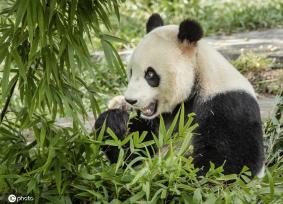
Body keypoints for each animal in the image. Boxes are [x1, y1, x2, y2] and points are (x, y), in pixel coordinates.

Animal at [96, 13, 266, 178]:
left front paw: (167, 172)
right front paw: (113, 121)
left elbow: (227, 162)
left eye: (150, 74)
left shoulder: (227, 104)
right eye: (131, 72)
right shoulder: (153, 121)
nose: (130, 100)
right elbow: (135, 151)